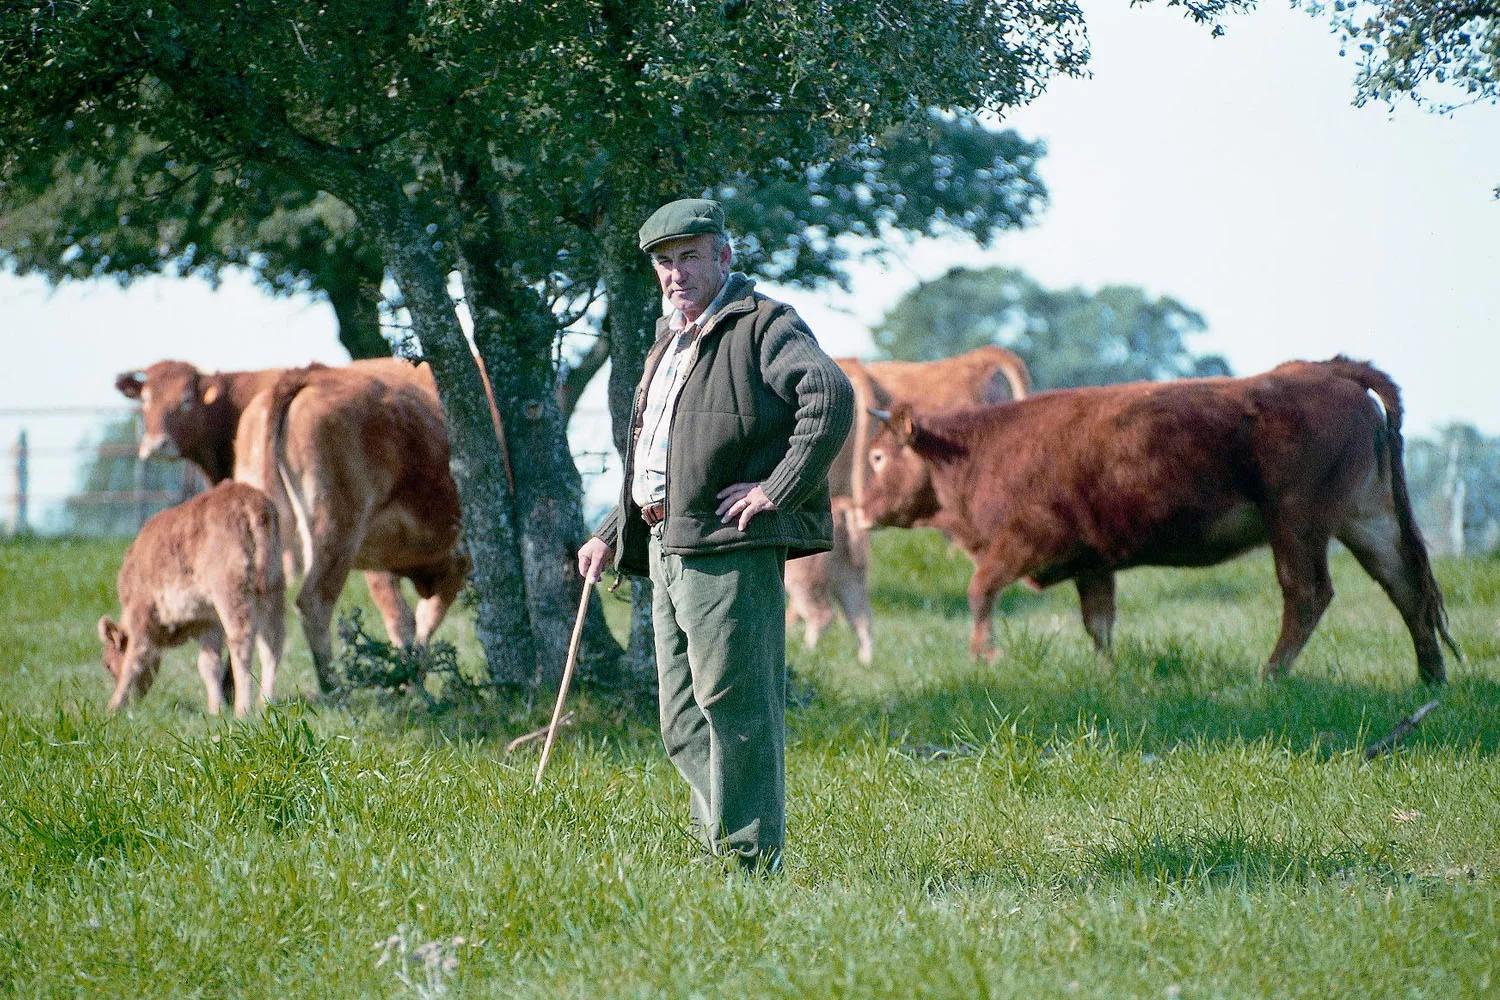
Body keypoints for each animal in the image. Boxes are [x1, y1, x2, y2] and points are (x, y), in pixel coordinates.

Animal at [98, 479, 285, 716]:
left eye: (108, 663)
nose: (136, 701)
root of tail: (250, 503)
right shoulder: (209, 622)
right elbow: (208, 664)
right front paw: (216, 709)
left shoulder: (141, 611)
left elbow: (135, 658)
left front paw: (112, 706)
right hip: (273, 589)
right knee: (272, 643)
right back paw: (265, 703)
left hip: (231, 593)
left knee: (242, 642)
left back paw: (242, 709)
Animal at [113, 359, 456, 665]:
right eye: (145, 400)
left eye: (185, 400)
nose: (156, 445)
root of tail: (304, 376)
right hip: (334, 533)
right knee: (314, 604)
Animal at [232, 361, 468, 695]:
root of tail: (309, 374)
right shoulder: (459, 559)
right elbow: (424, 618)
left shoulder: (381, 560)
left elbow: (403, 620)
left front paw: (408, 682)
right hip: (335, 530)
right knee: (313, 602)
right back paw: (334, 689)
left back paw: (265, 698)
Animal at [864, 355, 1458, 683]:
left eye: (877, 457)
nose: (860, 511)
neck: (977, 450)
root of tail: (1327, 370)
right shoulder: (1092, 564)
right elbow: (1099, 623)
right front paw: (1107, 673)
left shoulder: (1026, 544)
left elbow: (979, 590)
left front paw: (985, 656)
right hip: (1366, 520)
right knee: (1406, 586)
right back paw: (1430, 679)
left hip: (1296, 524)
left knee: (1308, 594)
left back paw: (1267, 675)